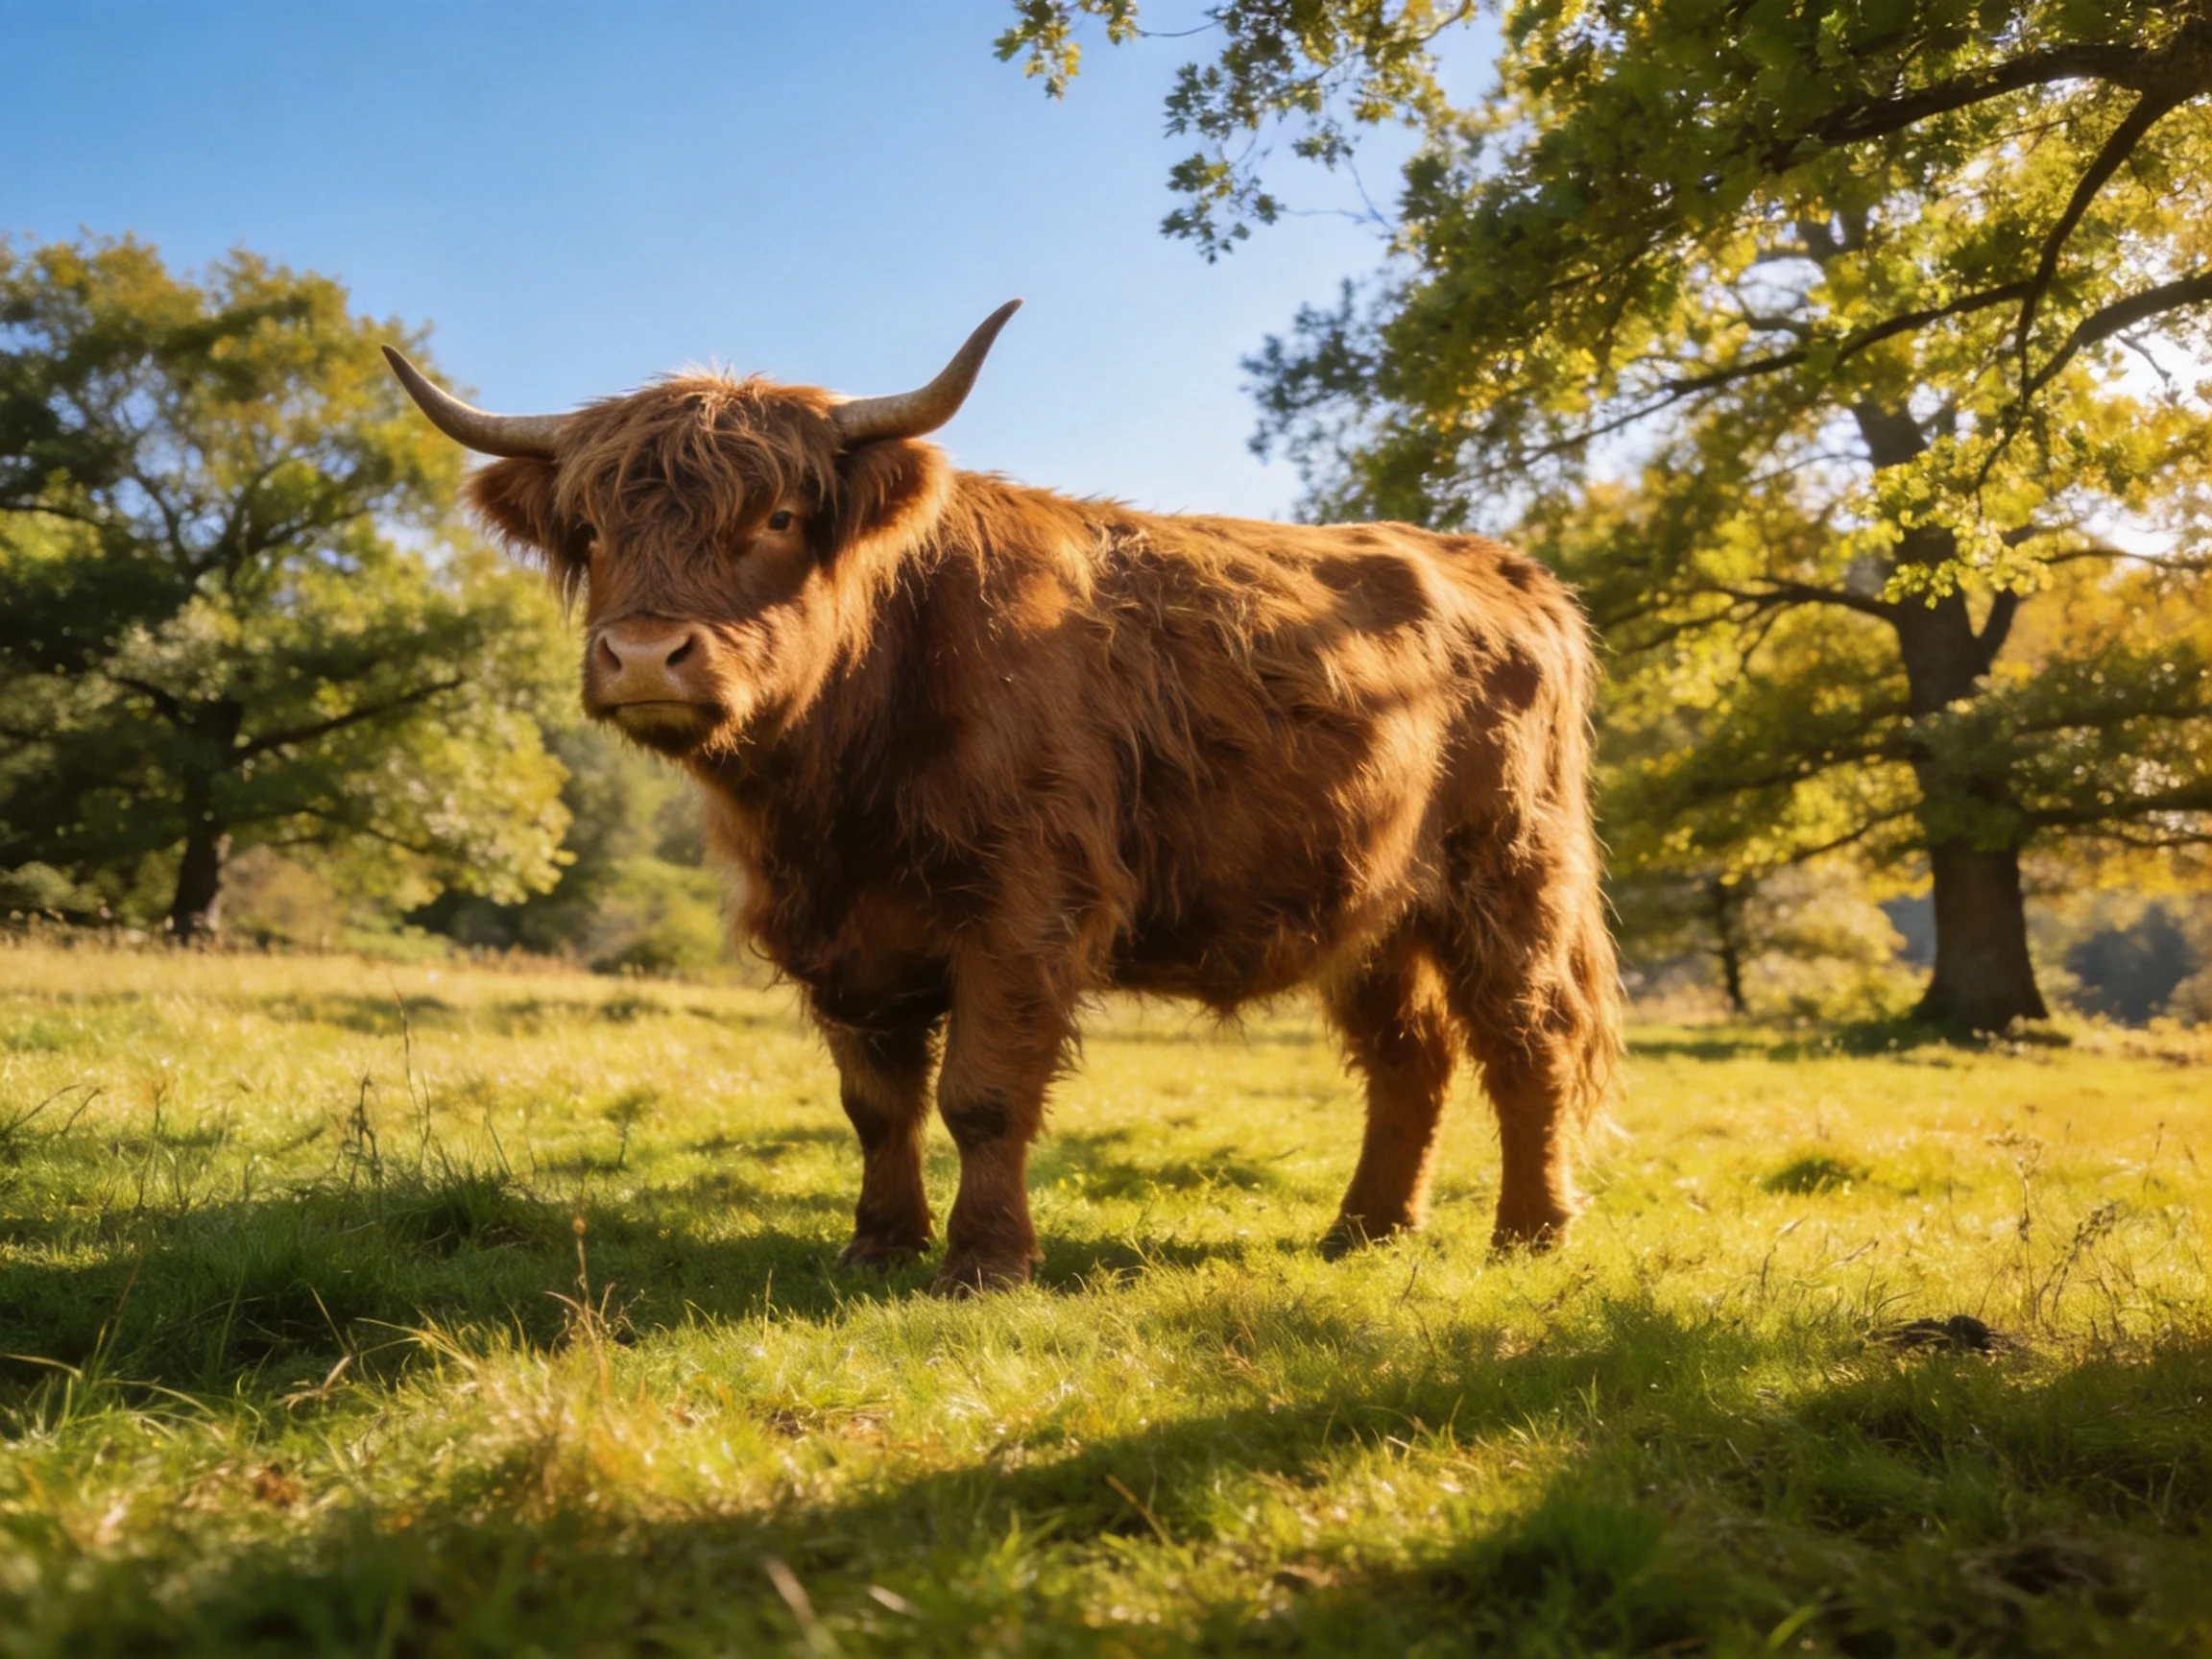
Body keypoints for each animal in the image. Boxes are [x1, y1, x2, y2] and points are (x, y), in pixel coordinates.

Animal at [383, 304, 1621, 1293]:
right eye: (592, 530)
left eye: (777, 517)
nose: (645, 655)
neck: (832, 789)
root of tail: (1508, 569)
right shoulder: (841, 933)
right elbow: (876, 1102)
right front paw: (878, 1245)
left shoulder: (1025, 906)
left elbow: (980, 1094)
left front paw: (984, 1263)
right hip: (1373, 902)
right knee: (1411, 1055)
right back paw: (1364, 1231)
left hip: (1510, 869)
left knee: (1530, 1038)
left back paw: (1531, 1234)